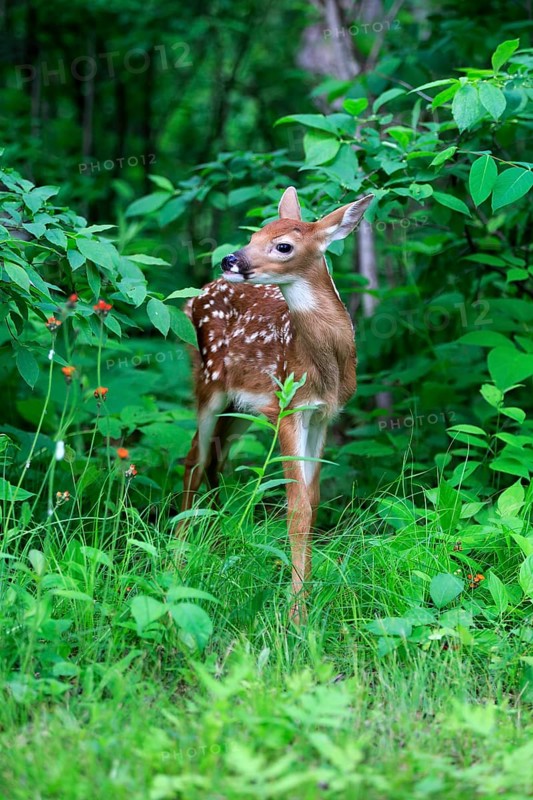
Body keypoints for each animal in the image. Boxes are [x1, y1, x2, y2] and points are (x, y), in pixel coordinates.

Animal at [181, 187, 373, 622]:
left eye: (282, 245)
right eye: (254, 235)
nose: (230, 259)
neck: (325, 366)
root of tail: (195, 298)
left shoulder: (322, 415)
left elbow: (313, 500)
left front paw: (309, 594)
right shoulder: (287, 410)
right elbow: (297, 507)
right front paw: (296, 612)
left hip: (241, 406)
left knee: (216, 458)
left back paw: (218, 541)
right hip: (209, 383)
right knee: (194, 460)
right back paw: (176, 559)